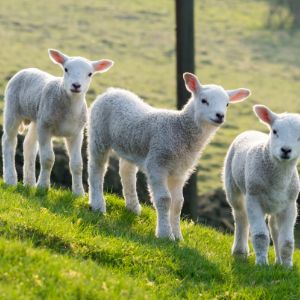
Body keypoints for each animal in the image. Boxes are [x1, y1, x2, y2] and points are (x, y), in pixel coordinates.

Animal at [2, 49, 113, 195]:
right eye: (66, 69)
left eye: (90, 74)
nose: (76, 85)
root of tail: (26, 70)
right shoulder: (46, 127)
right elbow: (48, 159)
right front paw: (43, 186)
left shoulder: (76, 133)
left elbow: (77, 164)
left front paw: (79, 193)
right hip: (13, 109)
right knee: (9, 141)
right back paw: (10, 179)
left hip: (38, 118)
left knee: (29, 145)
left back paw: (29, 183)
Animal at [88, 72, 250, 239]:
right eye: (204, 100)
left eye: (227, 104)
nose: (220, 116)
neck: (179, 129)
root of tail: (111, 91)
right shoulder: (157, 163)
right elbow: (165, 199)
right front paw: (165, 234)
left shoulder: (180, 172)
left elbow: (178, 203)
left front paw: (178, 236)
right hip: (98, 134)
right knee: (97, 168)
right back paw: (98, 204)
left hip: (129, 145)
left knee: (127, 172)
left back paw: (133, 207)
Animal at [223, 105, 300, 268]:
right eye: (275, 131)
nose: (285, 150)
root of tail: (251, 131)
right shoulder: (254, 198)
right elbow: (260, 235)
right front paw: (262, 263)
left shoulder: (290, 205)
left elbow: (287, 241)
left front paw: (287, 266)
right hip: (233, 186)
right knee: (241, 216)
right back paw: (240, 251)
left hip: (275, 204)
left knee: (273, 226)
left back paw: (278, 260)